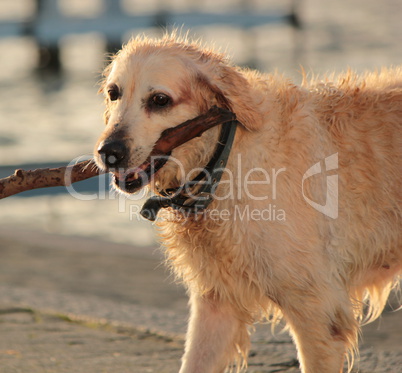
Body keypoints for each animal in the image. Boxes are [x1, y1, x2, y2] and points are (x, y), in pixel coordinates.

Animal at [93, 35, 398, 372]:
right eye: (113, 93)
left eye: (160, 100)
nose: (108, 152)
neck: (226, 158)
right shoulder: (217, 302)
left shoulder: (318, 312)